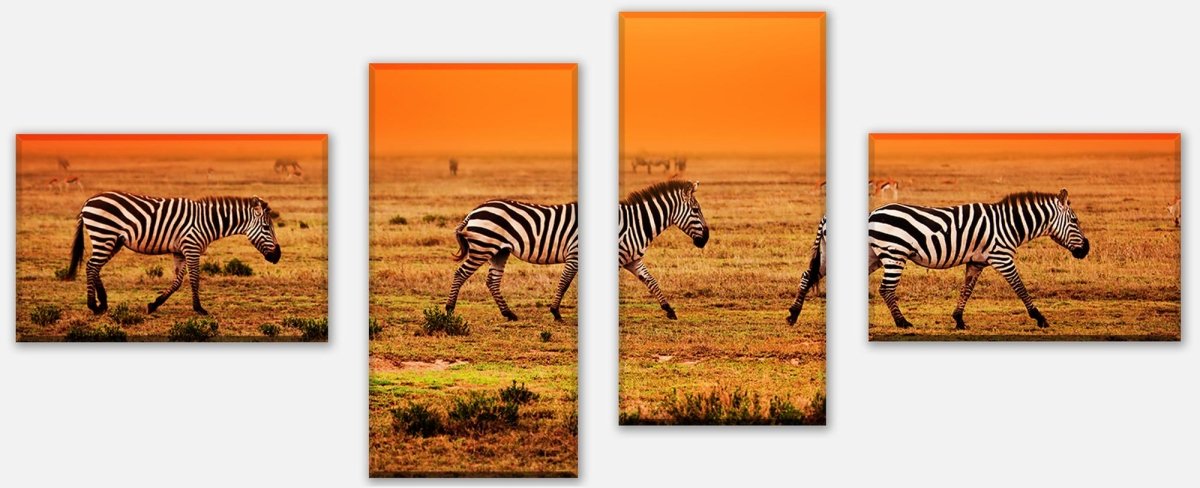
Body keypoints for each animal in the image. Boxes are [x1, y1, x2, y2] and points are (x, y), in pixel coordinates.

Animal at [66, 192, 282, 315]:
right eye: (266, 227)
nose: (277, 256)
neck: (207, 222)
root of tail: (88, 201)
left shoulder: (181, 251)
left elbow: (177, 281)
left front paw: (154, 304)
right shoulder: (192, 248)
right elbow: (194, 279)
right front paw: (199, 309)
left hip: (113, 241)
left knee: (95, 267)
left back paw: (102, 303)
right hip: (104, 235)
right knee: (91, 266)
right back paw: (93, 306)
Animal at [446, 198, 579, 321]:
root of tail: (474, 211)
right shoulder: (574, 253)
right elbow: (564, 283)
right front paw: (555, 312)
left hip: (500, 252)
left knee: (492, 281)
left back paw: (508, 314)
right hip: (483, 247)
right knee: (460, 274)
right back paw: (449, 309)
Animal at [619, 180, 710, 319]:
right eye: (695, 210)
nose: (706, 238)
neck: (634, 225)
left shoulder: (632, 260)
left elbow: (651, 281)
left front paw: (669, 309)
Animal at [868, 189, 1090, 330]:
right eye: (1075, 220)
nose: (1086, 249)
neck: (1010, 225)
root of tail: (874, 213)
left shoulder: (977, 262)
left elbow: (967, 289)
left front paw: (958, 320)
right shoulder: (1002, 257)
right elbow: (1020, 287)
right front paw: (1040, 318)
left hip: (875, 256)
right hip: (894, 253)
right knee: (886, 289)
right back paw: (902, 323)